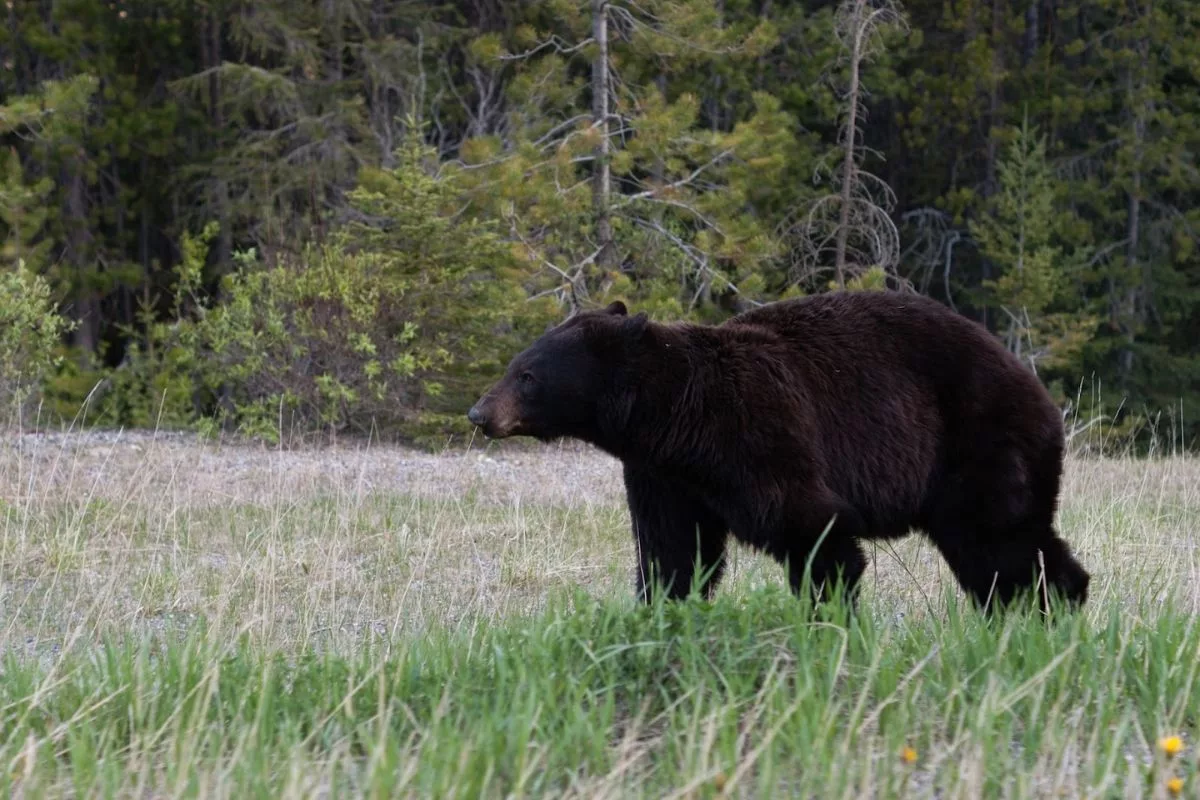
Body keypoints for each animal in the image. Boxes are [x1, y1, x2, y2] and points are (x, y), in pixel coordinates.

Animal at [465, 292, 1089, 614]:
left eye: (527, 375)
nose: (479, 412)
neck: (677, 419)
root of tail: (1039, 393)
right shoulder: (663, 475)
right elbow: (673, 551)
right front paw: (661, 613)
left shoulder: (762, 436)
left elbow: (814, 533)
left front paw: (829, 620)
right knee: (1010, 547)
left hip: (979, 442)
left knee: (999, 543)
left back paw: (1041, 611)